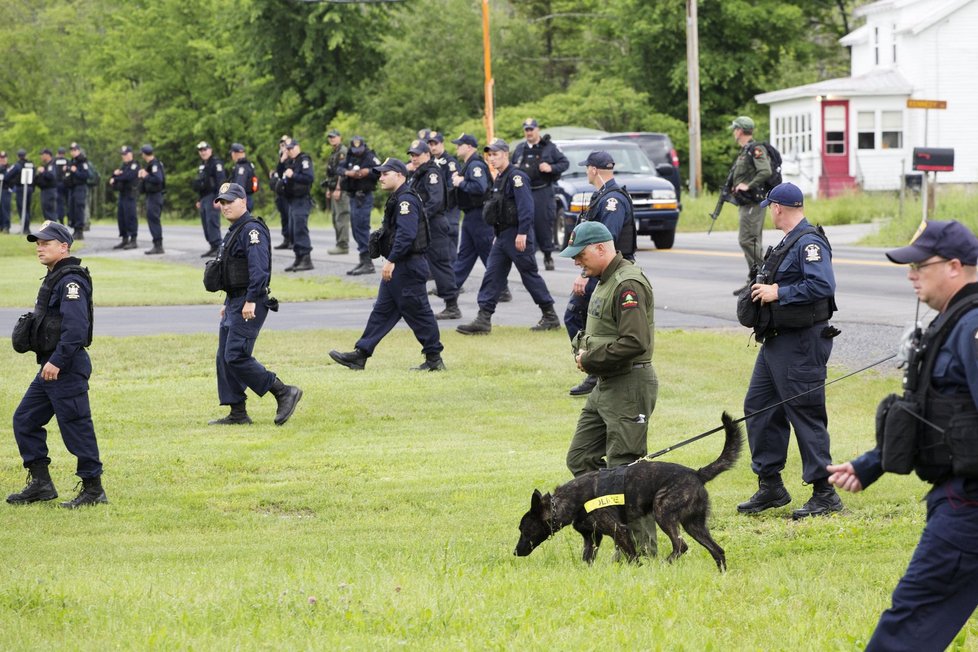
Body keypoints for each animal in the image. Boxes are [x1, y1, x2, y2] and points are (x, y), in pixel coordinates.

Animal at [516, 412, 736, 572]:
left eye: (524, 529)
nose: (515, 552)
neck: (572, 501)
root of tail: (697, 473)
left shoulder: (619, 531)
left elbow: (633, 557)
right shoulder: (591, 538)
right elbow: (587, 561)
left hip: (663, 512)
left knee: (681, 546)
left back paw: (664, 565)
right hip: (694, 525)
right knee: (717, 550)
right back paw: (722, 574)